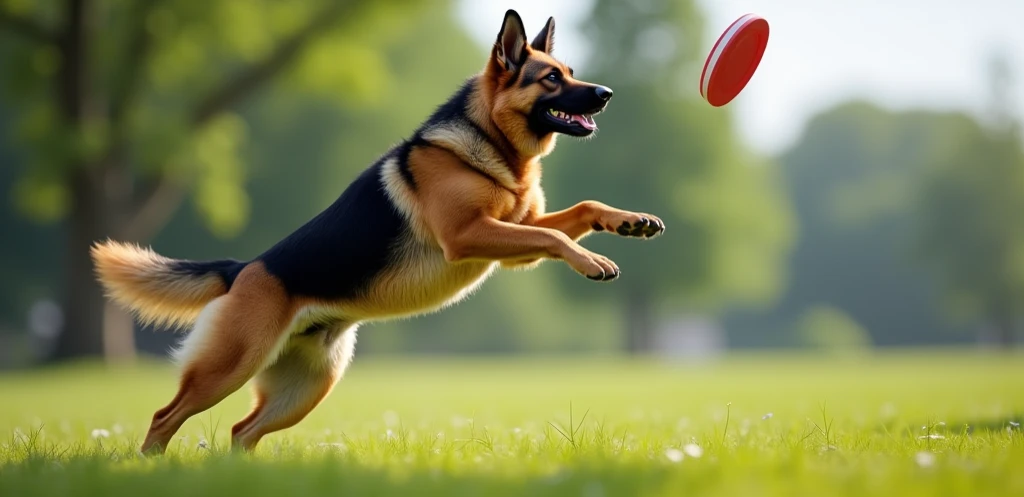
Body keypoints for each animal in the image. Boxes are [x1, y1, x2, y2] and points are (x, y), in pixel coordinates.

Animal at [90, 8, 663, 452]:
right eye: (550, 79)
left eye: (571, 71)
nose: (606, 93)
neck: (491, 144)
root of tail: (242, 268)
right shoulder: (471, 235)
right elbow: (555, 236)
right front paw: (594, 261)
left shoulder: (511, 238)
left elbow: (579, 211)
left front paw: (630, 222)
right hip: (227, 367)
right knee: (165, 417)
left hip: (305, 388)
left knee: (240, 431)